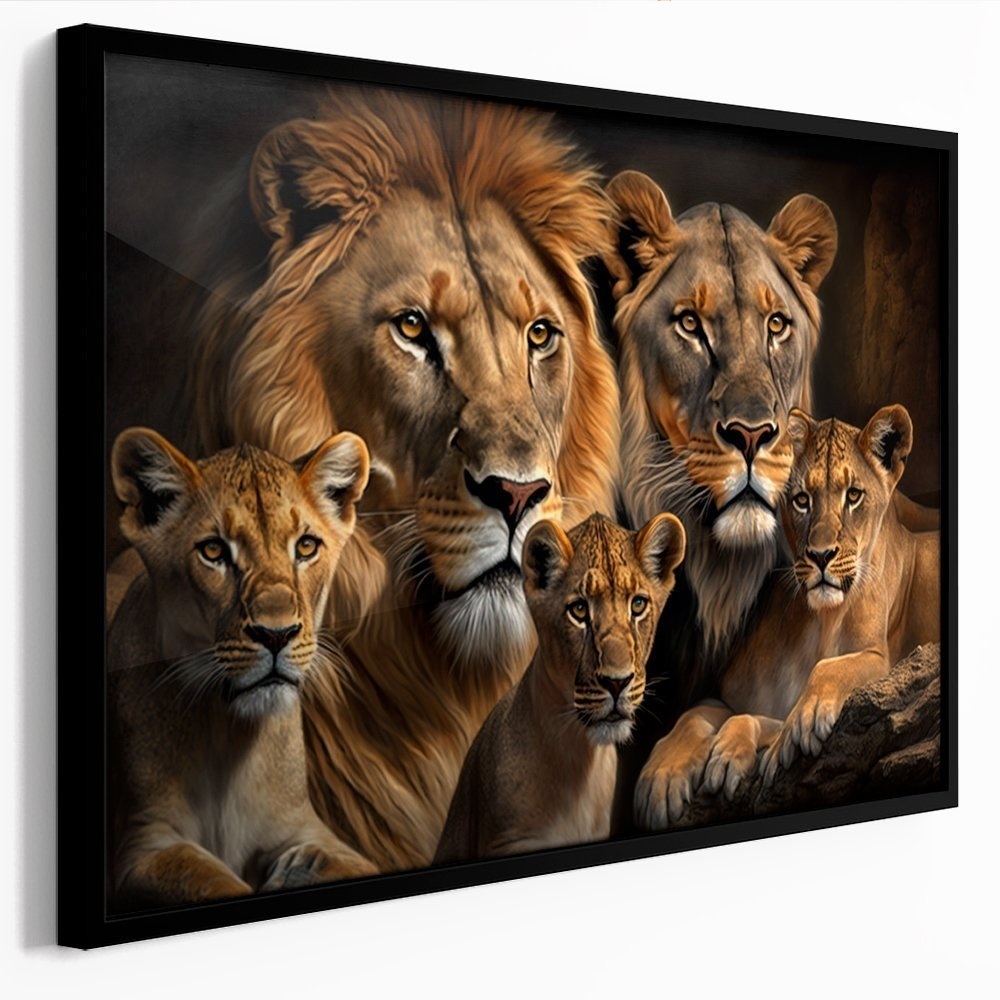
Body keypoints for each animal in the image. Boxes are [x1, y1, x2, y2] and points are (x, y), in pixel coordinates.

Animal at [108, 427, 376, 908]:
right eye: (213, 551)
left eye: (305, 546)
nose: (276, 634)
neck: (227, 734)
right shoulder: (143, 843)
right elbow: (206, 879)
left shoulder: (311, 829)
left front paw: (297, 873)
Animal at [634, 405, 940, 827]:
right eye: (801, 500)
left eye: (854, 495)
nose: (821, 555)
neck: (819, 623)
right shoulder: (731, 692)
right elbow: (695, 715)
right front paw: (661, 776)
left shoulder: (885, 660)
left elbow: (830, 670)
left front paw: (788, 730)